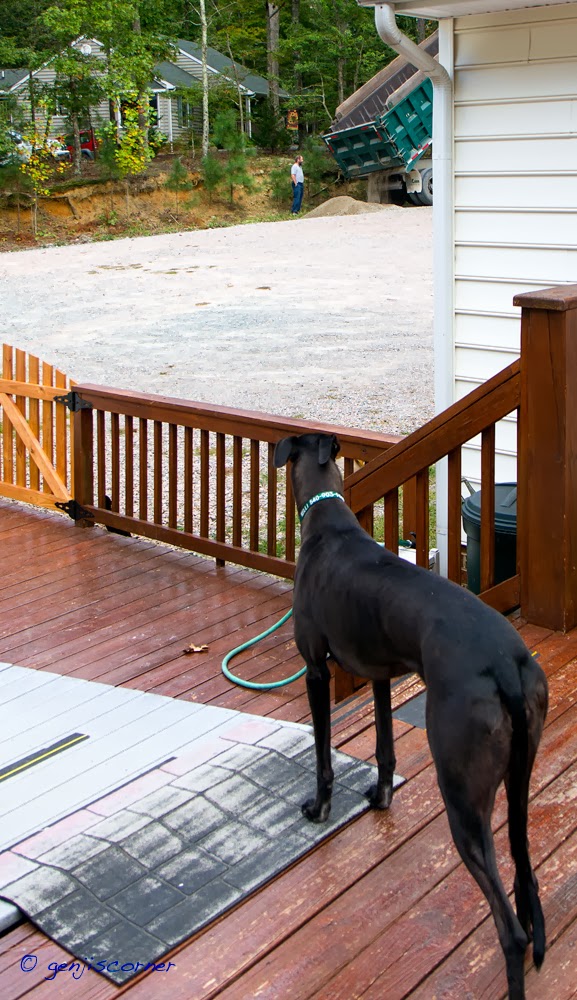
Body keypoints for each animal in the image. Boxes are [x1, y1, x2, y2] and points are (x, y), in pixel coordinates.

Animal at [274, 432, 548, 1000]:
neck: (328, 517)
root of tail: (505, 668)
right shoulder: (379, 672)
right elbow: (384, 748)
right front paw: (380, 798)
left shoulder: (316, 669)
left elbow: (323, 755)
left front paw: (319, 807)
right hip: (519, 775)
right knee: (525, 875)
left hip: (462, 793)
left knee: (507, 927)